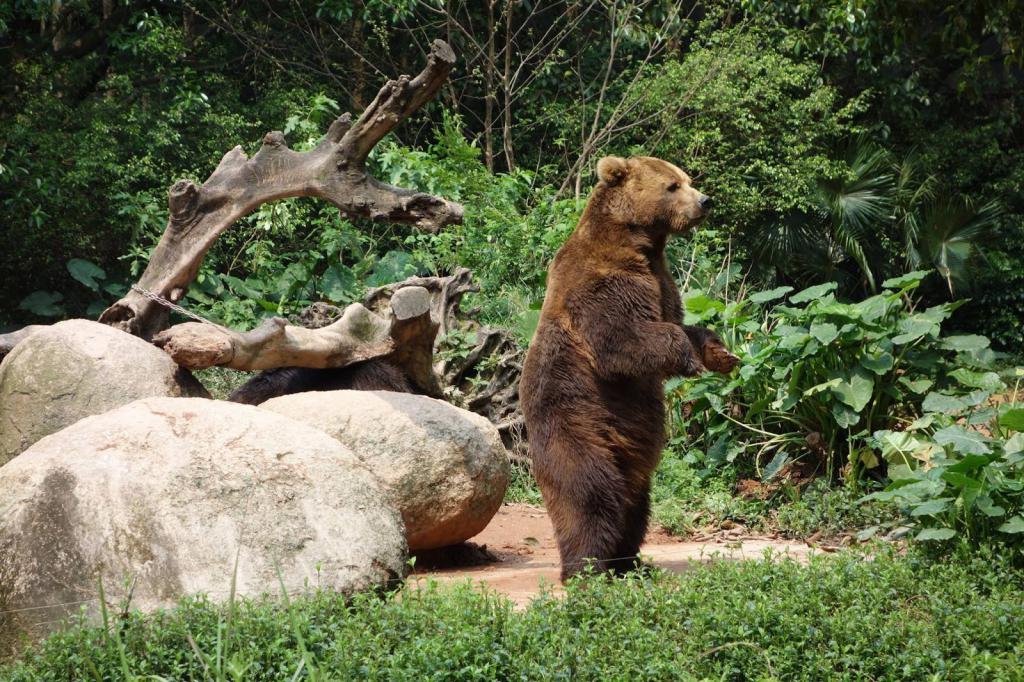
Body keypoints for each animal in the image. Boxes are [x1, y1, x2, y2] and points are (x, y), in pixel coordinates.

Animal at [520, 155, 737, 577]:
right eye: (672, 186)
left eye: (688, 179)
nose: (705, 201)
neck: (640, 242)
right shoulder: (602, 286)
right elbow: (622, 341)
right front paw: (689, 359)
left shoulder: (662, 279)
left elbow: (682, 321)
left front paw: (723, 355)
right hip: (574, 421)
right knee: (589, 493)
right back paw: (586, 568)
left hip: (630, 456)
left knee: (635, 504)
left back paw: (631, 563)